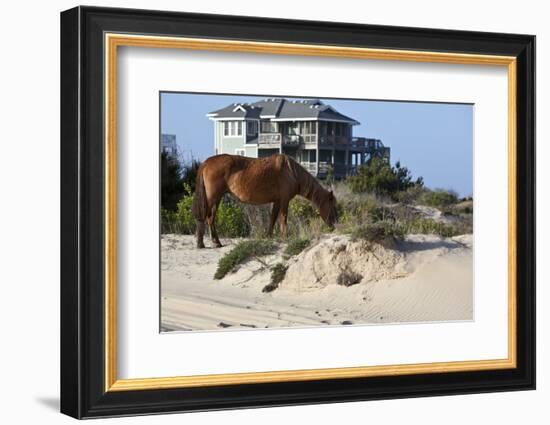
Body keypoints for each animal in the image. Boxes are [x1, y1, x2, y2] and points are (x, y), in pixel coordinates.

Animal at [192, 152, 338, 247]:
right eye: (332, 205)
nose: (334, 224)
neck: (291, 171)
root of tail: (207, 162)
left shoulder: (277, 201)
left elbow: (272, 218)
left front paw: (269, 236)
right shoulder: (284, 200)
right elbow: (283, 218)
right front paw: (285, 237)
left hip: (217, 198)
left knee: (210, 218)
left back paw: (216, 242)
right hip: (212, 197)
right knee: (206, 217)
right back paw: (202, 243)